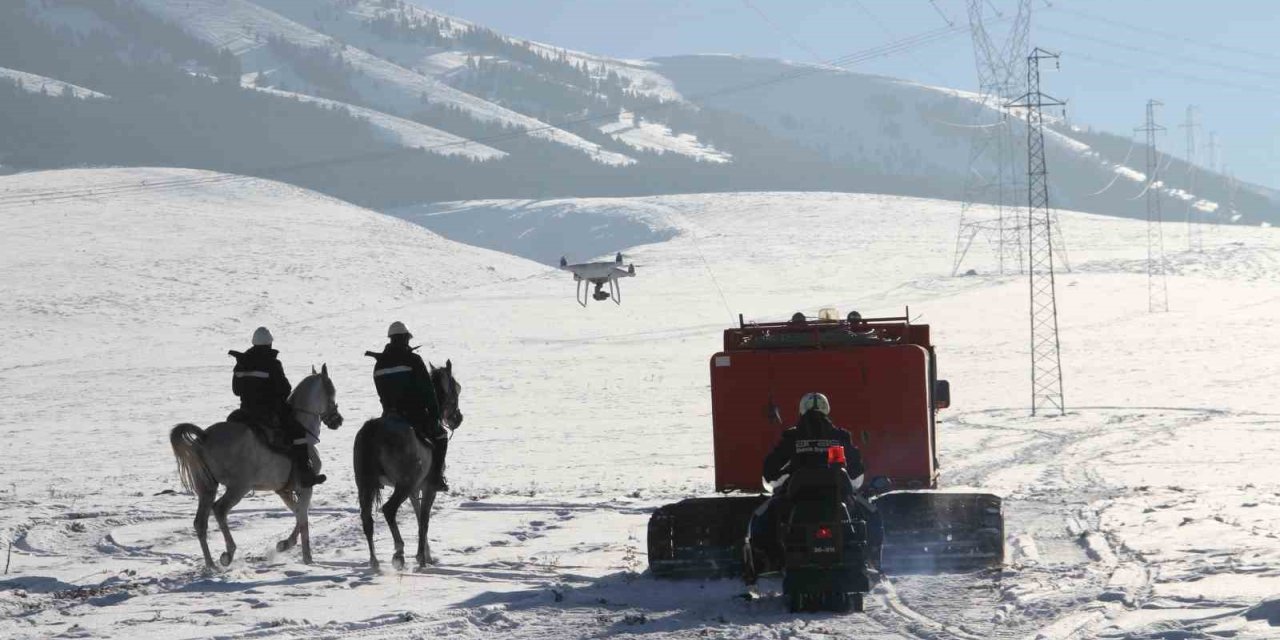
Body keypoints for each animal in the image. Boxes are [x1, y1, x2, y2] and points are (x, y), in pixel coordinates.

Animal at [167, 368, 343, 568]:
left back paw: (211, 564)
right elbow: (303, 516)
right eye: (332, 391)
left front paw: (285, 544)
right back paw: (228, 553)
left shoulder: (283, 490)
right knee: (219, 509)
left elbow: (298, 512)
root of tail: (205, 436)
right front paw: (307, 557)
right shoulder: (305, 487)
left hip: (207, 487)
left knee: (200, 523)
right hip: (238, 487)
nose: (338, 420)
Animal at [353, 360, 463, 570]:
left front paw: (426, 555)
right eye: (456, 389)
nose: (458, 418)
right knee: (389, 510)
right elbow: (424, 520)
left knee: (366, 519)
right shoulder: (427, 487)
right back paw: (398, 552)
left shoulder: (415, 489)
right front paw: (421, 558)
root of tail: (374, 428)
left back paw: (374, 561)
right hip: (404, 484)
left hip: (365, 485)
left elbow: (419, 517)